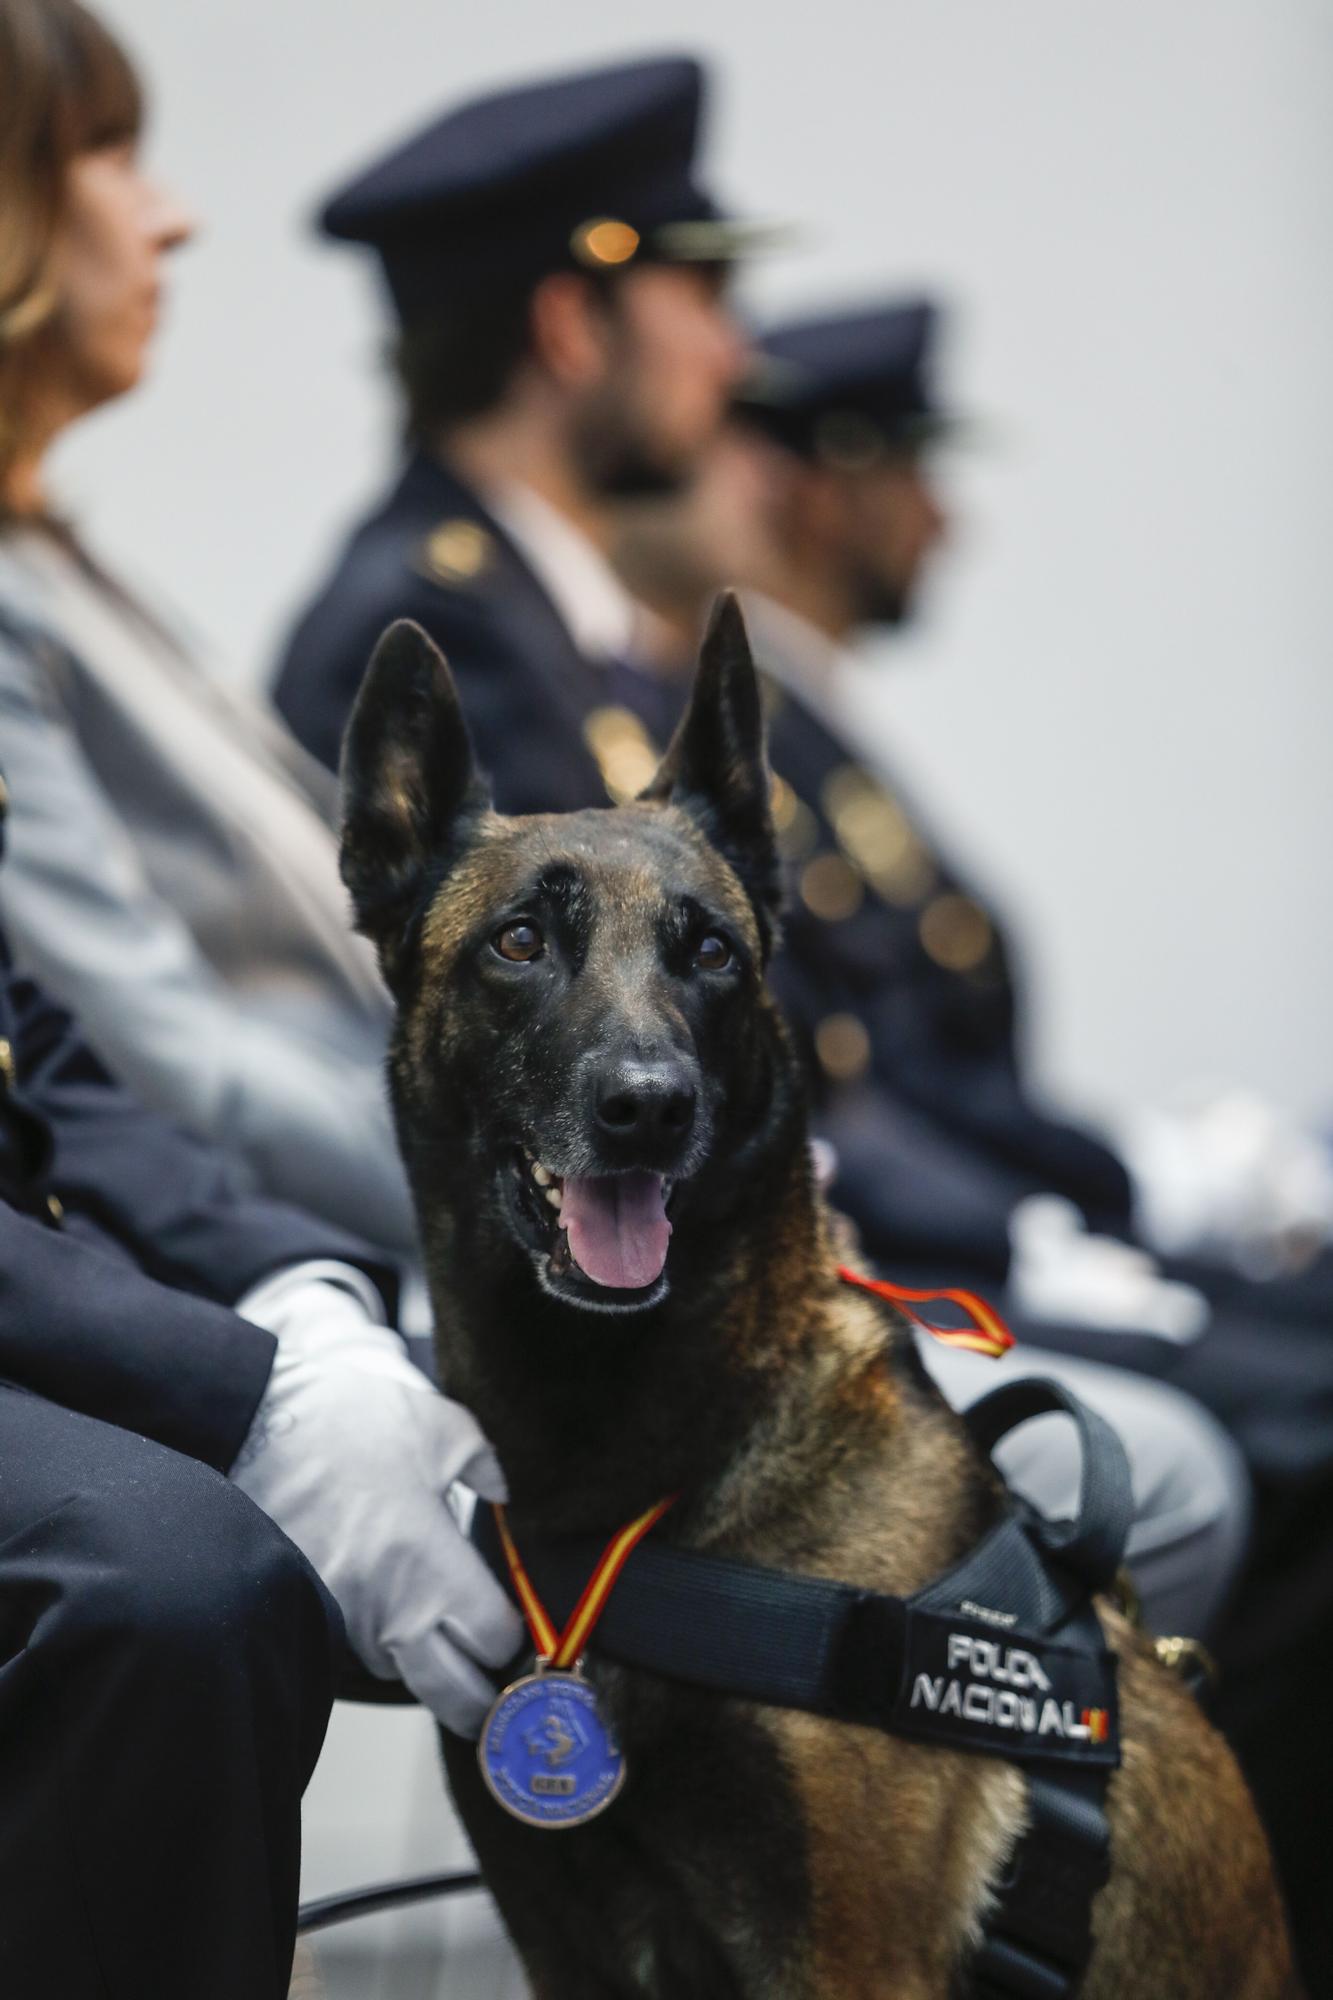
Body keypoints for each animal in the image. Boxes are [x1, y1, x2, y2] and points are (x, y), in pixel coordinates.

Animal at [340, 600, 1288, 1992]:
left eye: (711, 951)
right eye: (518, 940)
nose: (647, 1107)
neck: (644, 1470)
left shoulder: (843, 1954)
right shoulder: (564, 1934)